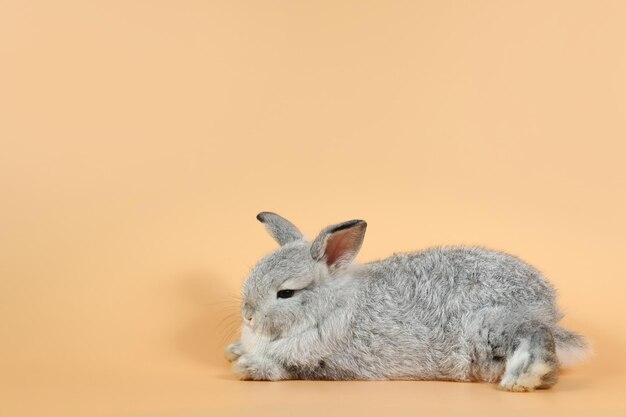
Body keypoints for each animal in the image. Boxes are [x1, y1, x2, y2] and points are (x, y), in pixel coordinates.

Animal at [223, 211, 584, 390]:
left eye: (286, 293)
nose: (248, 315)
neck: (331, 306)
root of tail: (549, 307)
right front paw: (235, 351)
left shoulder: (326, 361)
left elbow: (288, 368)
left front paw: (250, 368)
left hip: (488, 327)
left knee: (537, 336)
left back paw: (523, 378)